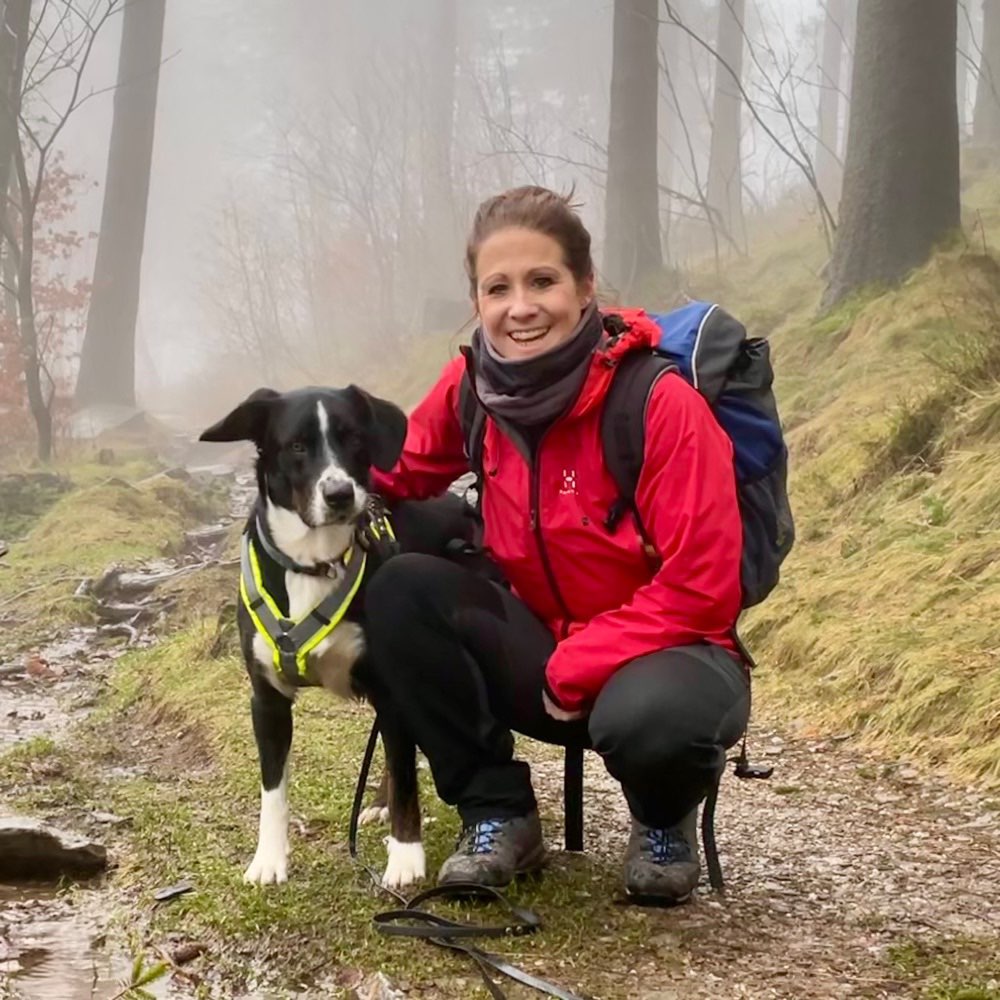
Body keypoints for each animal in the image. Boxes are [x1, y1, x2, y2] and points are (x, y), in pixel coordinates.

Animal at [198, 384, 446, 892]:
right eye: (296, 445)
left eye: (353, 438)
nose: (338, 493)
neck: (314, 562)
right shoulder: (266, 700)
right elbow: (272, 788)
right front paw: (269, 859)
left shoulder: (390, 688)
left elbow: (408, 776)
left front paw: (406, 857)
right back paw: (378, 803)